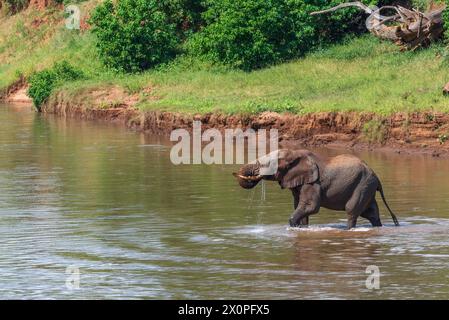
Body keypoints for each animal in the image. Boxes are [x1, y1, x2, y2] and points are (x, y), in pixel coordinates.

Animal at [233, 149, 398, 229]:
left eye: (268, 165)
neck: (295, 154)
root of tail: (376, 177)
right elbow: (301, 208)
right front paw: (301, 228)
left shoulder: (313, 182)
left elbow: (310, 206)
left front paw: (293, 225)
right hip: (367, 187)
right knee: (371, 213)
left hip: (362, 185)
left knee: (352, 211)